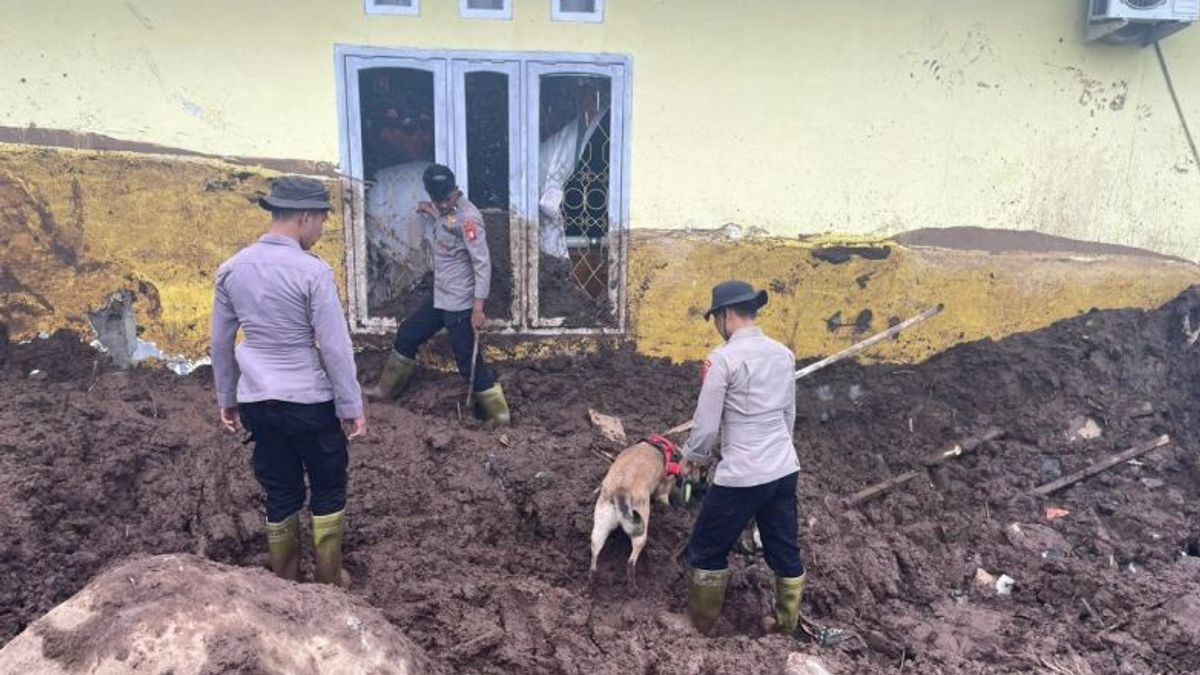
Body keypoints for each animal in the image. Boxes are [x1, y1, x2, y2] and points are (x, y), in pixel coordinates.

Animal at [588, 437, 681, 588]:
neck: (656, 445)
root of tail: (621, 491)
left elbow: (601, 483)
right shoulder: (663, 488)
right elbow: (664, 496)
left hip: (600, 527)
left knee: (594, 554)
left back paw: (592, 578)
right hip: (641, 530)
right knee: (631, 561)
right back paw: (632, 586)